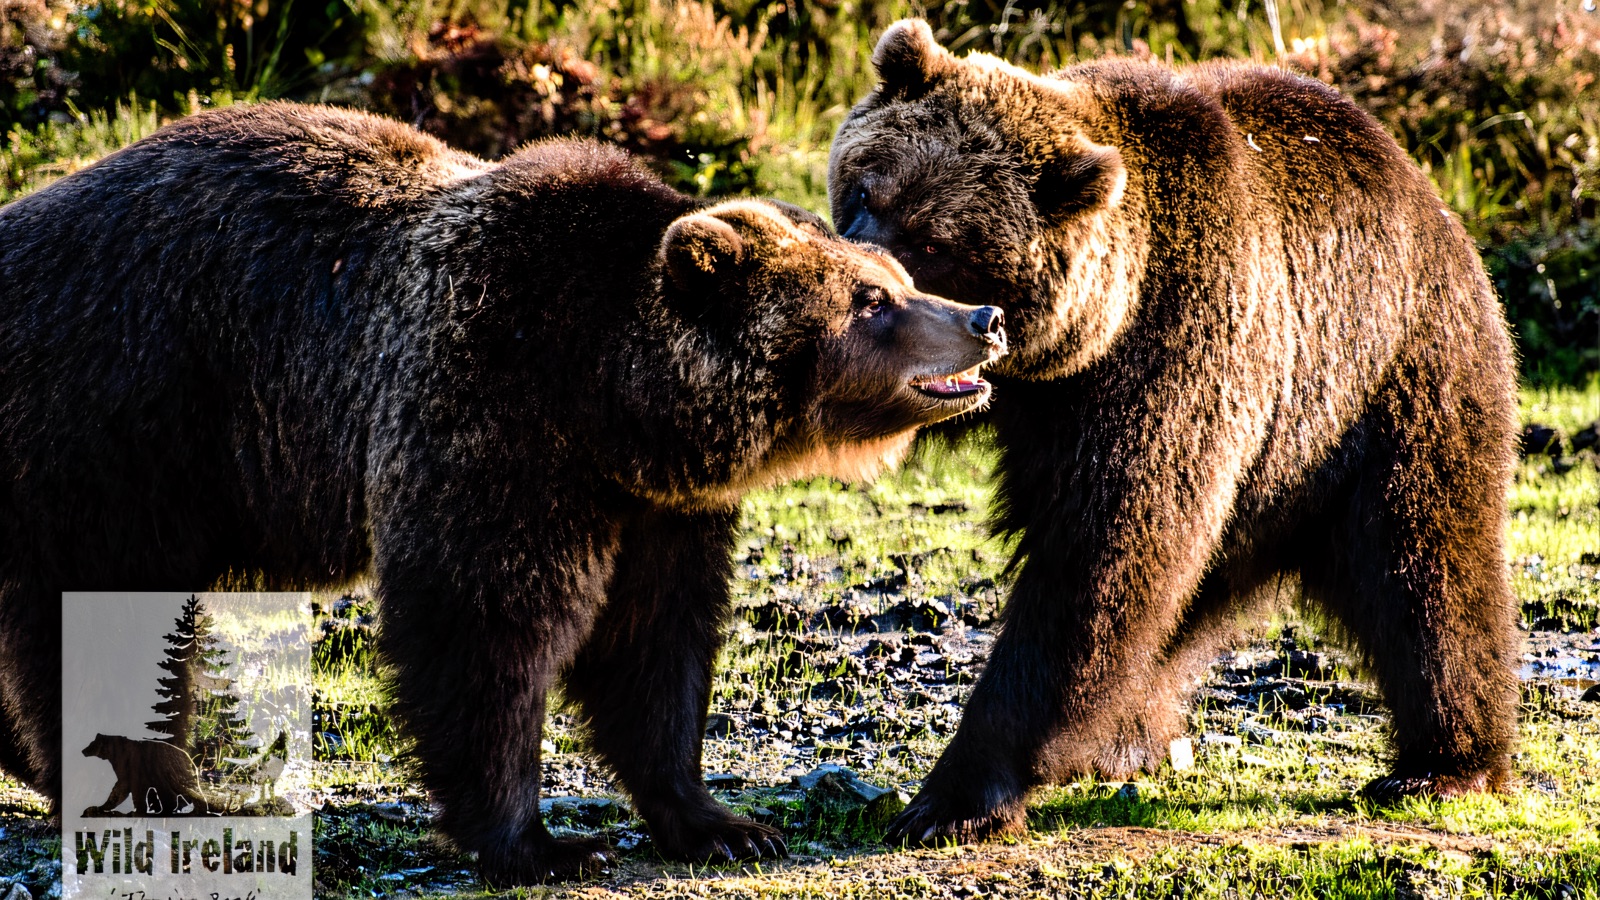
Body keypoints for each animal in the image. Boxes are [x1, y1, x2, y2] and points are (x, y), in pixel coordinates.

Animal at [828, 20, 1520, 845]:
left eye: (936, 240)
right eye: (864, 190)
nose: (859, 284)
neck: (1072, 354)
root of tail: (1426, 191)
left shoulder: (1172, 360)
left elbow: (1099, 563)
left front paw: (953, 799)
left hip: (1389, 384)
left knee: (1426, 567)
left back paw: (1444, 764)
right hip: (1273, 460)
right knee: (1195, 595)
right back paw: (1129, 734)